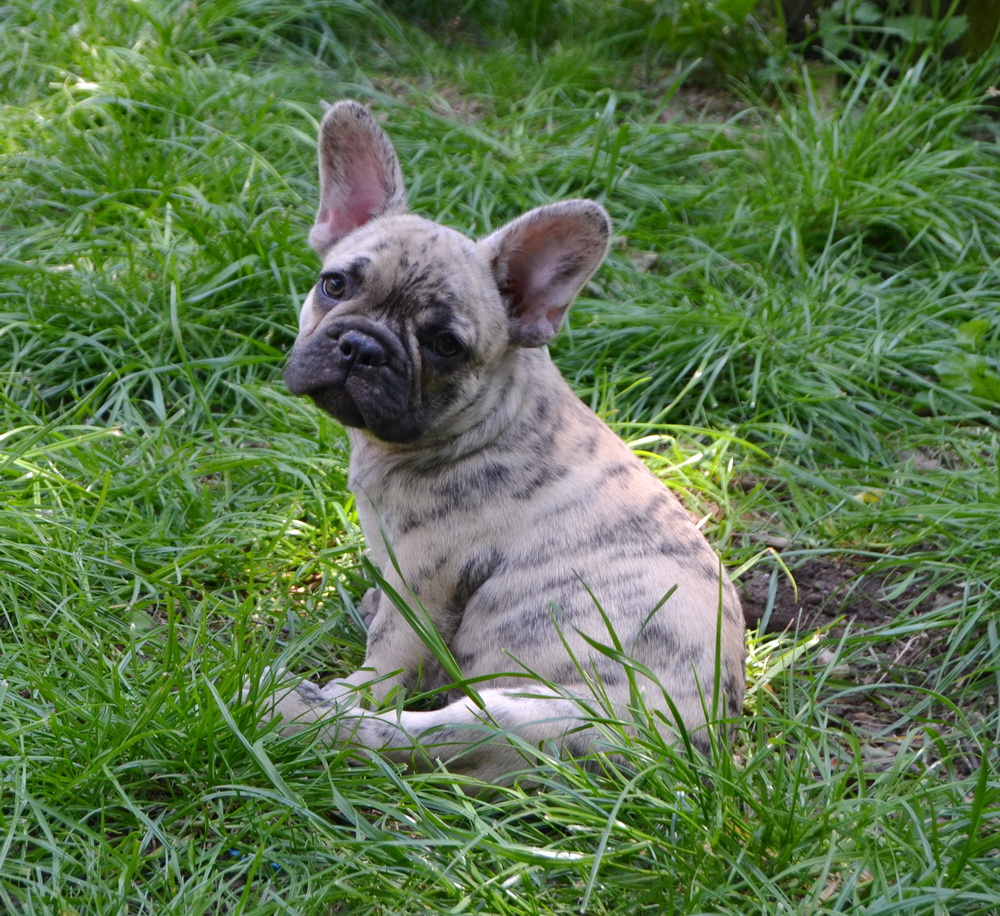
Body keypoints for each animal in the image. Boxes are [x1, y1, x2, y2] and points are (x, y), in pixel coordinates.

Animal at [257, 100, 745, 784]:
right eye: (334, 285)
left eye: (445, 345)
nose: (361, 346)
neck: (479, 421)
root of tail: (685, 758)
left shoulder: (421, 586)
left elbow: (385, 664)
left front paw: (348, 688)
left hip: (516, 715)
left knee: (393, 737)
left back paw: (298, 709)